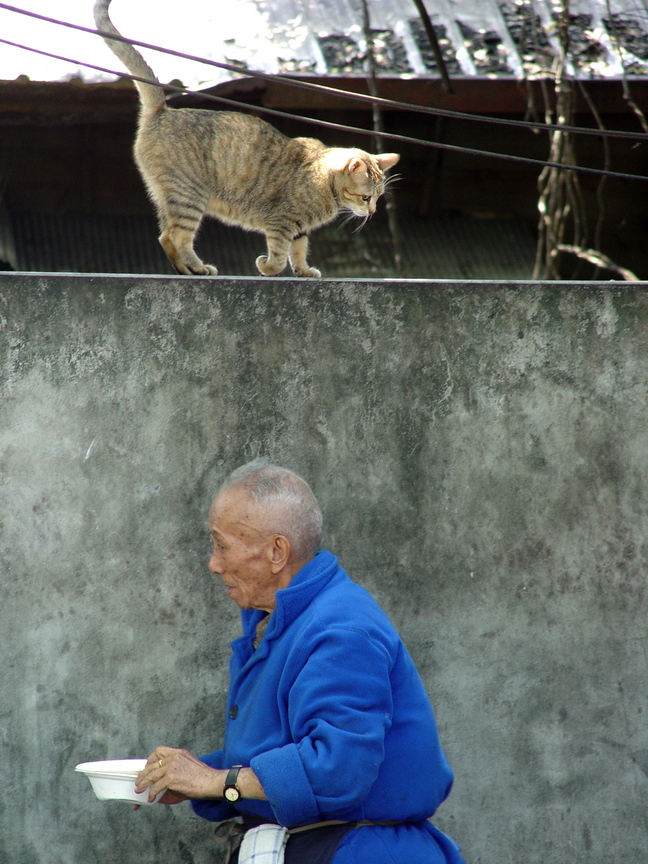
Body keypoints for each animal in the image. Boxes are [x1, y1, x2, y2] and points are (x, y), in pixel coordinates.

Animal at [93, 0, 400, 278]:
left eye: (378, 198)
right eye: (366, 197)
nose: (372, 211)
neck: (324, 183)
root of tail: (162, 110)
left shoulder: (298, 229)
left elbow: (299, 251)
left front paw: (303, 271)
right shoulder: (282, 223)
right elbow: (279, 255)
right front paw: (268, 267)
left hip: (169, 198)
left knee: (166, 236)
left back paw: (185, 270)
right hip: (189, 196)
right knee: (179, 236)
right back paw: (198, 267)